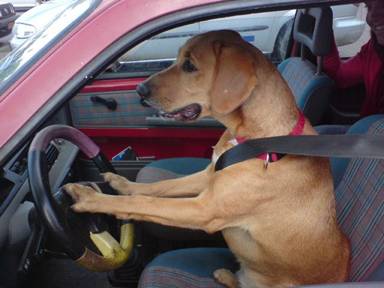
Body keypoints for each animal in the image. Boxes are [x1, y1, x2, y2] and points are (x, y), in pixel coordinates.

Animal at [64, 30, 350, 286]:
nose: (140, 89)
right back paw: (225, 274)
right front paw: (121, 184)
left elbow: (145, 202)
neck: (253, 136)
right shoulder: (209, 175)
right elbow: (160, 186)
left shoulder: (203, 209)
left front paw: (92, 199)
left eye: (190, 65)